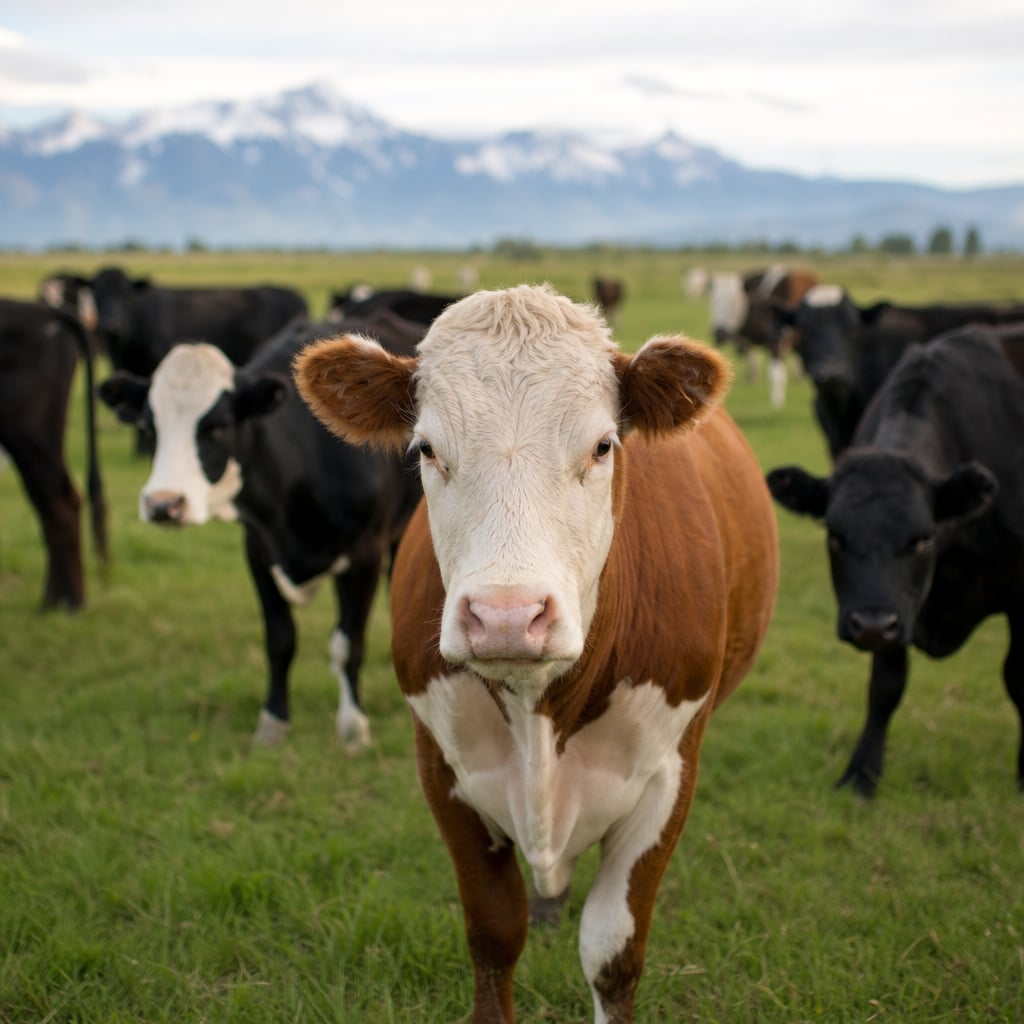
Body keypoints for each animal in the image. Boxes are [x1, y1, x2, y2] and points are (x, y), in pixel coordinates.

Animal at [0, 298, 107, 610]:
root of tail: (44, 311)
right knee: (52, 507)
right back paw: (53, 601)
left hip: (31, 438)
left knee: (59, 505)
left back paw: (73, 604)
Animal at [97, 310, 424, 747]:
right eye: (150, 429)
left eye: (218, 427)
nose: (163, 504)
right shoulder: (257, 548)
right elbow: (279, 639)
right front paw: (273, 724)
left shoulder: (363, 555)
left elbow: (348, 643)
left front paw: (353, 728)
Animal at [295, 284, 779, 1023]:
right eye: (427, 448)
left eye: (603, 445)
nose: (507, 617)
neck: (540, 709)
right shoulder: (442, 767)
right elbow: (495, 932)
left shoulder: (671, 773)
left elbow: (612, 953)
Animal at [708, 265, 819, 408]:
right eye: (713, 302)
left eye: (734, 302)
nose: (719, 331)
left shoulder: (775, 342)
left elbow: (775, 374)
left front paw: (777, 403)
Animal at [766, 325, 1024, 798]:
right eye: (835, 535)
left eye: (923, 538)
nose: (869, 624)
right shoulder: (894, 609)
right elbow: (885, 685)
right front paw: (861, 774)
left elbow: (1017, 678)